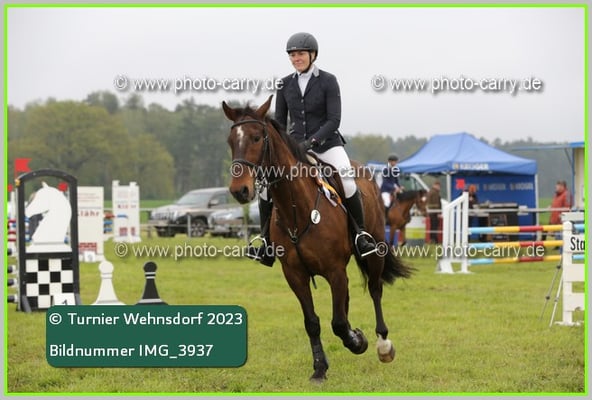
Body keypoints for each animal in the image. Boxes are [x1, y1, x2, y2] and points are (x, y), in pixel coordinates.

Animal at [223, 96, 413, 382]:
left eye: (256, 138)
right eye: (231, 141)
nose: (239, 190)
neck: (296, 208)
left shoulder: (334, 270)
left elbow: (338, 322)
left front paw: (358, 342)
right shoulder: (295, 274)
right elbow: (313, 322)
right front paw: (320, 367)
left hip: (374, 250)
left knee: (375, 289)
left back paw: (383, 345)